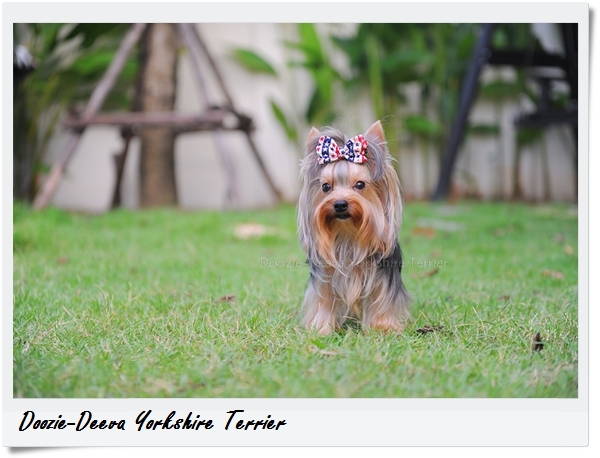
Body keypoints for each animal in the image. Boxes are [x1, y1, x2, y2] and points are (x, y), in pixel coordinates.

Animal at [297, 121, 410, 335]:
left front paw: (382, 328)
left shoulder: (382, 275)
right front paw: (321, 328)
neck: (348, 233)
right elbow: (324, 300)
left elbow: (381, 298)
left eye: (360, 184)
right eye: (326, 187)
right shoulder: (326, 275)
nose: (340, 204)